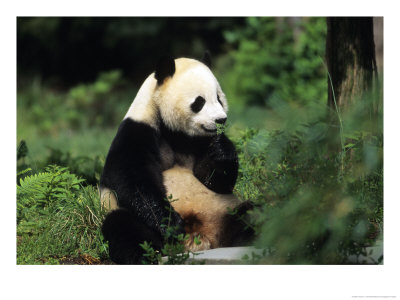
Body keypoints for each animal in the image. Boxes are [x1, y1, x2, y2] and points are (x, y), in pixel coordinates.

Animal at [99, 54, 252, 264]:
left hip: (225, 210)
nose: (221, 120)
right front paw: (171, 224)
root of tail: (201, 239)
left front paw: (221, 149)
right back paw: (146, 255)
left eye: (219, 99)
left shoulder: (200, 141)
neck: (175, 132)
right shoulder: (137, 131)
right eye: (199, 101)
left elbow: (214, 181)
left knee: (253, 213)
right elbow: (133, 179)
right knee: (123, 227)